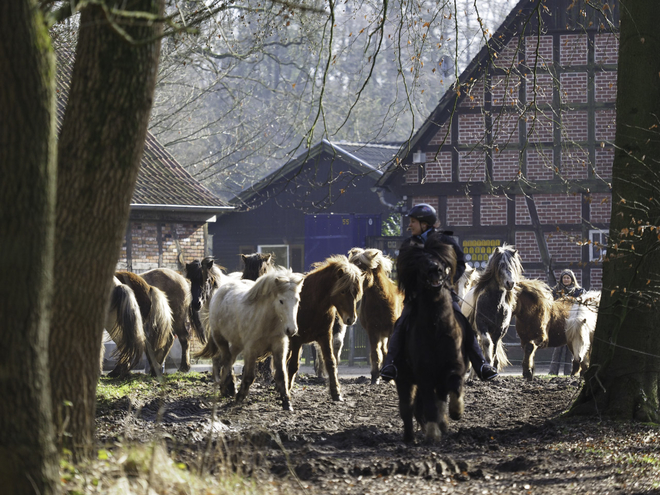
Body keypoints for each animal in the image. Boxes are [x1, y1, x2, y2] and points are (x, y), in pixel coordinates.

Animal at [195, 268, 306, 410]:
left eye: (297, 300)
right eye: (281, 301)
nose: (291, 330)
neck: (268, 321)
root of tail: (222, 289)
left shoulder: (279, 347)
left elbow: (281, 375)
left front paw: (287, 402)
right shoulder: (250, 349)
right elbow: (248, 376)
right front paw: (239, 398)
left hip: (237, 344)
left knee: (229, 360)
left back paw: (227, 388)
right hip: (221, 339)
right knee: (226, 360)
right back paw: (227, 388)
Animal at [286, 256, 364, 404]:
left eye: (356, 292)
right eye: (342, 291)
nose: (351, 319)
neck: (311, 302)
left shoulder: (325, 336)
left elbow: (330, 362)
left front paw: (336, 393)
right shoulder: (297, 340)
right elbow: (293, 365)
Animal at [394, 236, 466, 446]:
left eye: (440, 259)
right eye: (420, 261)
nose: (436, 270)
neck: (435, 327)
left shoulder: (454, 365)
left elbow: (454, 385)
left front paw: (456, 412)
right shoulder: (424, 374)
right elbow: (429, 405)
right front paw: (433, 434)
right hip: (404, 379)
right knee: (407, 407)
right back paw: (410, 438)